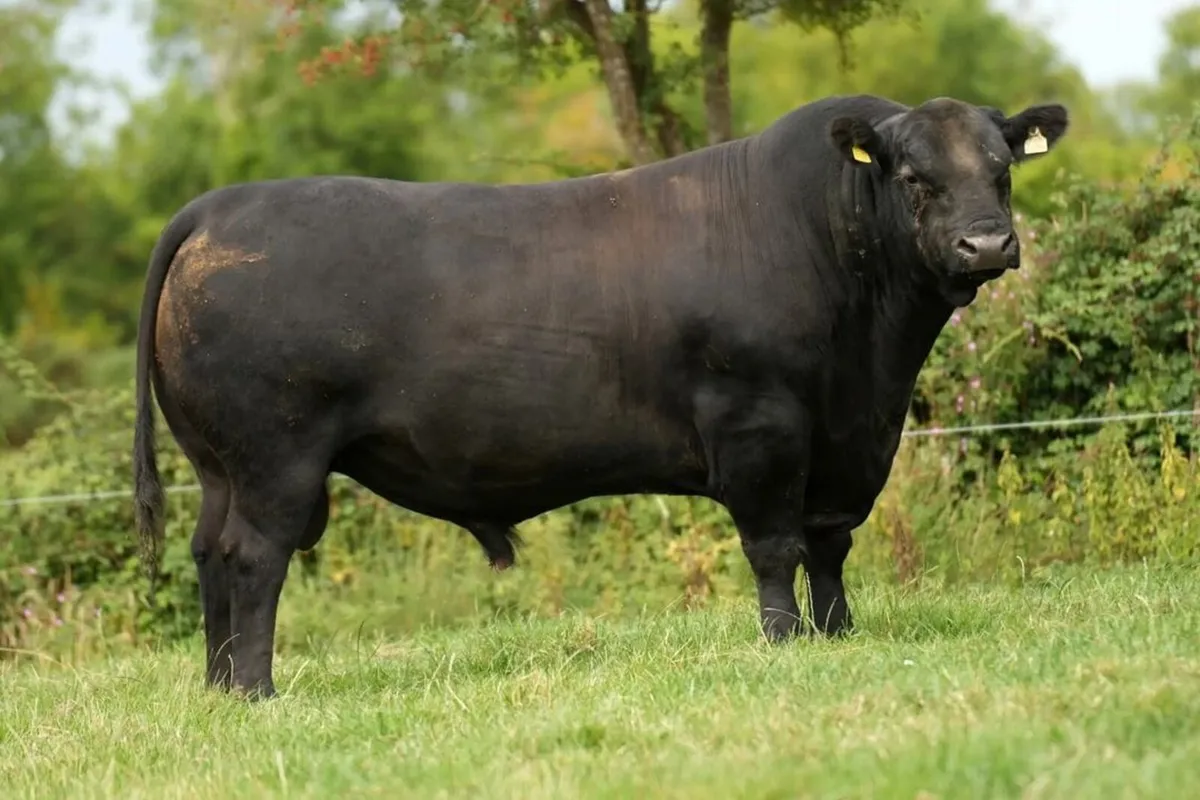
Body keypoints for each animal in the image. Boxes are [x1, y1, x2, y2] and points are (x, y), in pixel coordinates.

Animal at [132, 93, 1068, 699]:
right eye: (914, 178)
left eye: (1001, 171)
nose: (987, 244)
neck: (869, 365)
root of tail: (217, 208)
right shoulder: (759, 426)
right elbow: (775, 546)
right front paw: (784, 640)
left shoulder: (845, 444)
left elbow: (830, 546)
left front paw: (839, 634)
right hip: (276, 456)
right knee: (254, 557)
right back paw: (257, 689)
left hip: (218, 464)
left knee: (209, 552)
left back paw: (218, 686)